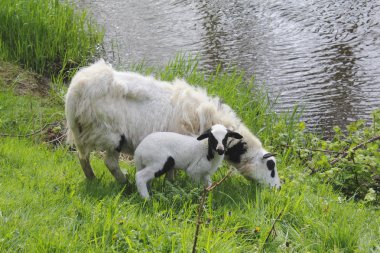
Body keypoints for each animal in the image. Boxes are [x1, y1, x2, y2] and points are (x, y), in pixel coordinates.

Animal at [63, 59, 280, 188]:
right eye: (271, 166)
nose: (278, 188)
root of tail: (76, 91)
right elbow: (173, 168)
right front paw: (172, 185)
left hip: (84, 132)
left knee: (83, 157)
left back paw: (92, 180)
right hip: (111, 134)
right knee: (110, 163)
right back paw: (126, 184)